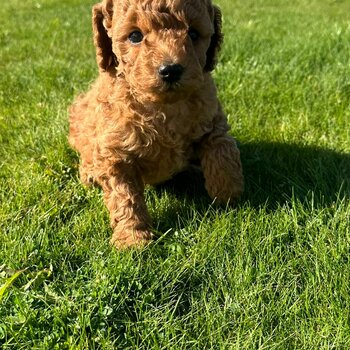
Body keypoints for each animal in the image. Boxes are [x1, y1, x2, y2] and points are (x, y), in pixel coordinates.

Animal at [68, 0, 243, 247]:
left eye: (193, 33)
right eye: (134, 36)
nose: (171, 70)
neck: (164, 106)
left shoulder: (212, 117)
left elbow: (223, 150)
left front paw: (227, 192)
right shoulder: (115, 153)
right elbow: (125, 196)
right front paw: (132, 237)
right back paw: (90, 174)